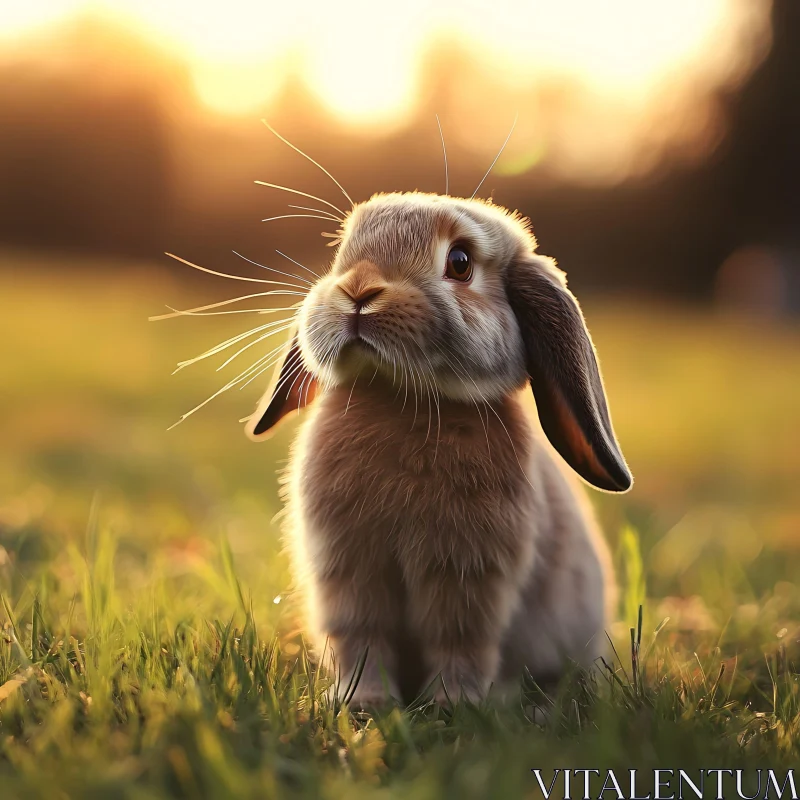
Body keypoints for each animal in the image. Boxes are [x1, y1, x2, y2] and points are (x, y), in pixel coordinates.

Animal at [244, 194, 632, 708]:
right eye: (342, 253)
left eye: (460, 262)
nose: (359, 291)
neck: (399, 398)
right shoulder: (347, 569)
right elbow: (362, 636)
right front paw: (362, 703)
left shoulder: (467, 575)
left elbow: (458, 640)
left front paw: (451, 705)